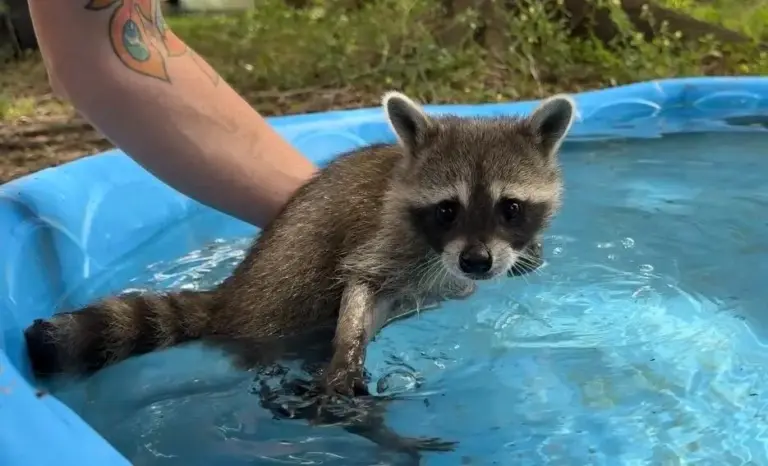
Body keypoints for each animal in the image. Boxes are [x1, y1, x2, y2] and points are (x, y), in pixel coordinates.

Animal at [25, 91, 575, 456]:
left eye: (510, 207)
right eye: (447, 210)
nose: (476, 263)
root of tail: (235, 291)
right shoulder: (388, 238)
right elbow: (359, 281)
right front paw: (349, 349)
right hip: (280, 310)